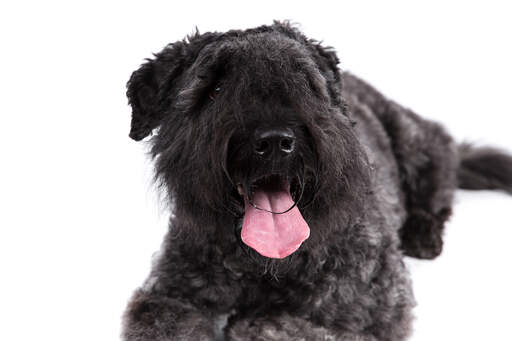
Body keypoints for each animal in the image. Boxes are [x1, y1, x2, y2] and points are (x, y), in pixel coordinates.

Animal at [121, 21, 512, 340]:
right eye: (214, 90)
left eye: (304, 83)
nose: (275, 140)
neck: (267, 265)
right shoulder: (169, 296)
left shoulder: (375, 306)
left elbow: (273, 327)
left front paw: (244, 322)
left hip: (417, 142)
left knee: (439, 181)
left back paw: (423, 233)